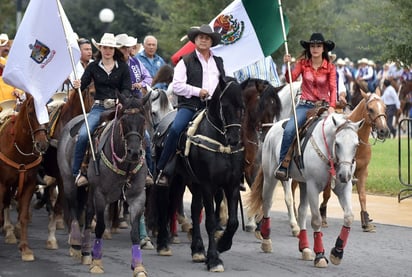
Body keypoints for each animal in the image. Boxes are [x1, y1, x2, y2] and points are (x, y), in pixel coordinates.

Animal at [0, 92, 49, 258]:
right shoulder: (2, 184)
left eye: (47, 110)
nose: (42, 144)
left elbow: (23, 216)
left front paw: (25, 248)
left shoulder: (29, 184)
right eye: (31, 113)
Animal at [56, 91, 150, 274]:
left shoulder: (137, 197)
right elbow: (99, 226)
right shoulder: (100, 194)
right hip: (69, 181)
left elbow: (134, 232)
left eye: (143, 121)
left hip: (90, 190)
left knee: (88, 213)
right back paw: (76, 243)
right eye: (123, 121)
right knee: (75, 209)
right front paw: (97, 263)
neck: (125, 165)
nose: (134, 152)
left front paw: (138, 266)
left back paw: (86, 251)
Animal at [152, 76, 245, 270]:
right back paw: (163, 244)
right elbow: (210, 222)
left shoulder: (231, 185)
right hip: (168, 178)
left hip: (189, 180)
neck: (220, 144)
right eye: (224, 106)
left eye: (242, 106)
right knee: (164, 204)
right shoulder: (208, 185)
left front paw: (222, 244)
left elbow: (233, 222)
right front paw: (214, 259)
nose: (233, 139)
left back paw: (197, 249)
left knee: (195, 209)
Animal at [246, 112, 362, 268]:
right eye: (337, 144)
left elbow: (349, 217)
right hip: (271, 177)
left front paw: (337, 252)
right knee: (267, 204)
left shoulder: (343, 187)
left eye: (356, 145)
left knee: (301, 212)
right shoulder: (313, 186)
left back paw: (305, 248)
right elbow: (316, 220)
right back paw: (266, 240)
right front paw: (320, 255)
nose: (345, 175)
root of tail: (272, 128)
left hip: (303, 184)